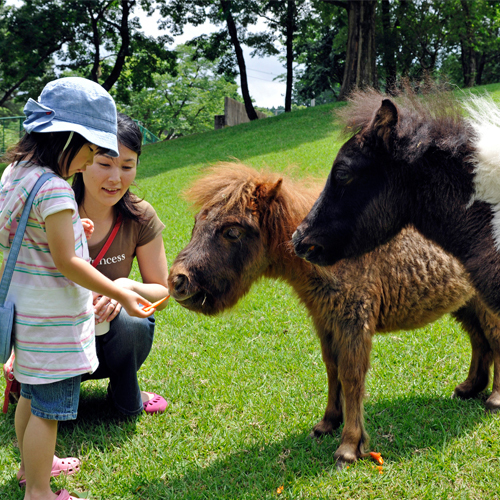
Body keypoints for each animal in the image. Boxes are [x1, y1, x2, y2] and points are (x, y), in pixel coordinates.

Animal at [168, 162, 500, 466]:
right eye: (196, 222)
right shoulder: (325, 321)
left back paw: (494, 399)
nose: (178, 281)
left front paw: (349, 446)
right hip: (466, 303)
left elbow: (352, 377)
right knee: (479, 340)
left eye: (232, 231)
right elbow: (332, 369)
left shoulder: (353, 322)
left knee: (493, 340)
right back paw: (470, 387)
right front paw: (328, 422)